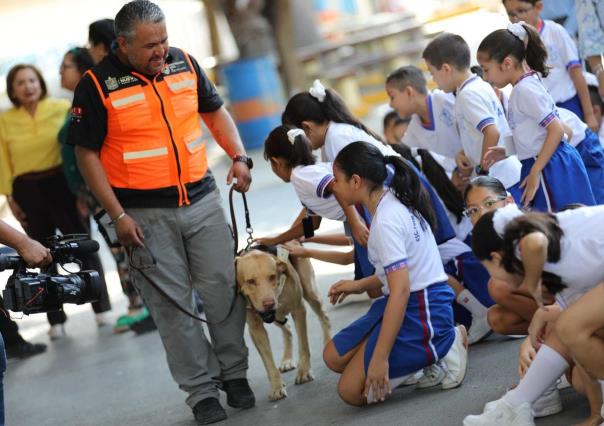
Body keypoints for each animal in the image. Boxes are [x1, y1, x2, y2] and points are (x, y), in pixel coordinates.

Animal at [235, 245, 330, 402]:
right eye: (250, 281)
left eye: (272, 276)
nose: (269, 303)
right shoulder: (255, 328)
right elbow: (268, 362)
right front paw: (276, 387)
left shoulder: (298, 310)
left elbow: (304, 346)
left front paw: (304, 371)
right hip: (276, 317)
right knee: (287, 328)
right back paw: (287, 359)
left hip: (311, 293)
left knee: (324, 317)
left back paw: (328, 343)